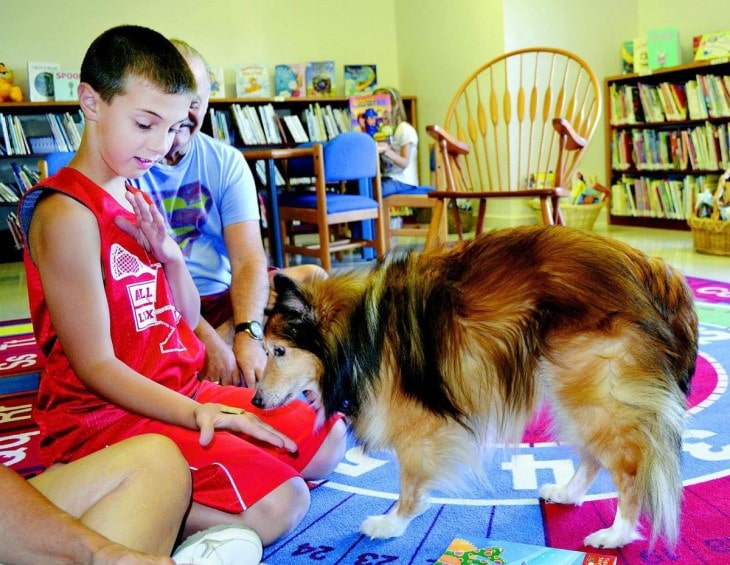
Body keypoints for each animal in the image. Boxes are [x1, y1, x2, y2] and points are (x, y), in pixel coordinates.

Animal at [253, 225, 696, 548]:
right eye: (264, 349)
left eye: (278, 351)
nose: (255, 400)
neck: (361, 331)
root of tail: (657, 272)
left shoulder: (416, 425)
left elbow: (409, 482)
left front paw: (392, 523)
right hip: (575, 386)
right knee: (594, 455)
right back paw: (568, 494)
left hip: (593, 388)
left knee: (629, 467)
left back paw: (616, 534)